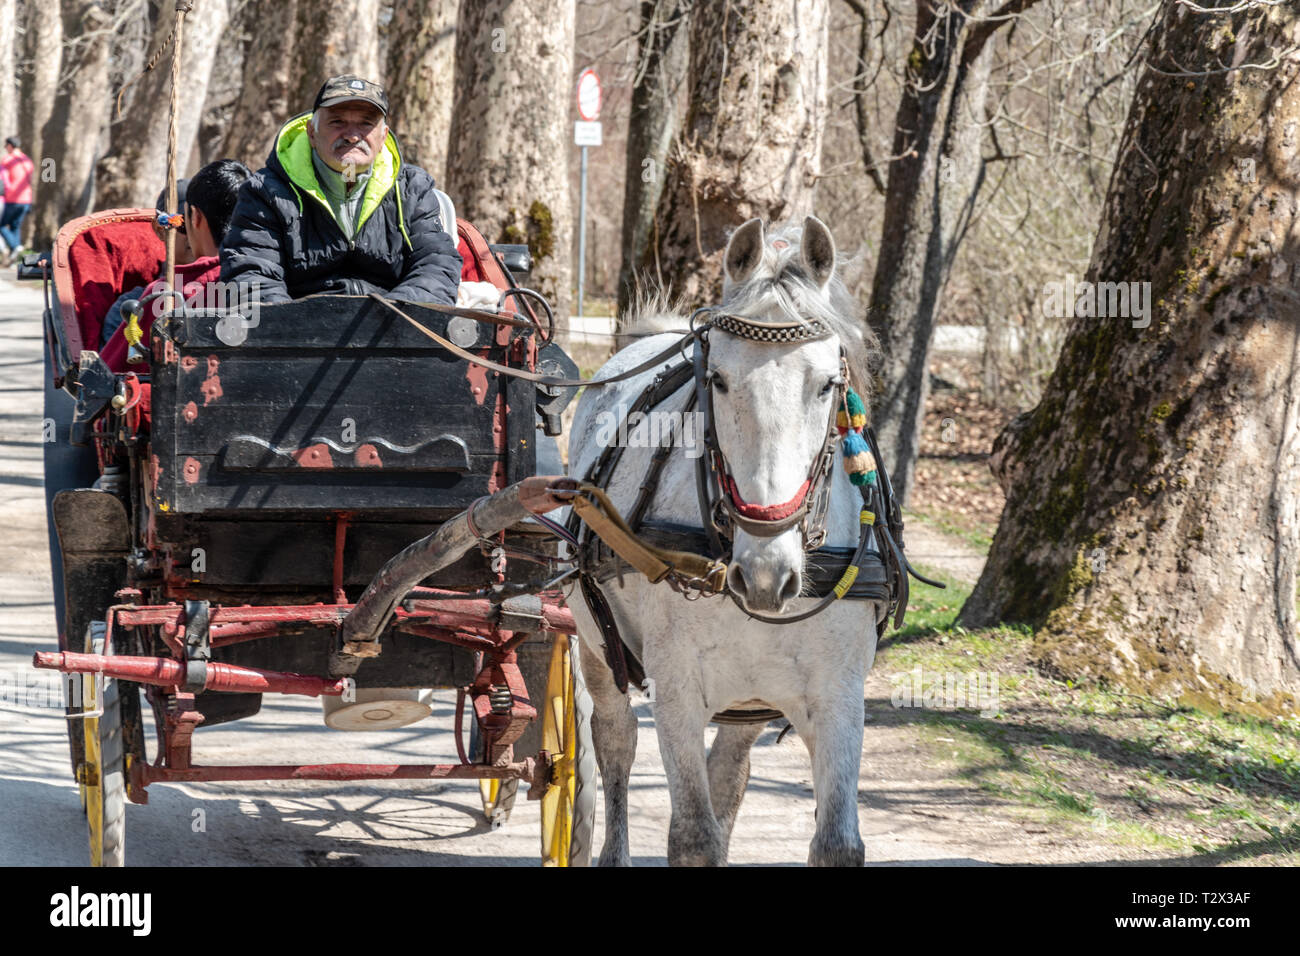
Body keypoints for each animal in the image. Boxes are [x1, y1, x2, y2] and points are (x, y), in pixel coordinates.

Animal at [566, 217, 883, 868]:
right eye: (717, 379)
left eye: (826, 385)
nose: (766, 574)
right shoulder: (677, 688)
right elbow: (693, 834)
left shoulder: (839, 693)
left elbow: (836, 842)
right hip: (596, 645)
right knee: (616, 742)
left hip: (753, 695)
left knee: (729, 770)